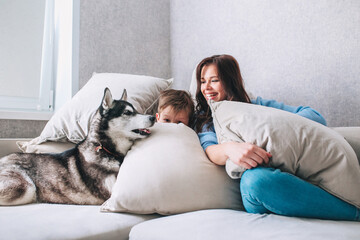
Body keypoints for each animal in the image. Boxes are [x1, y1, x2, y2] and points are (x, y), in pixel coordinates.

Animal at [0, 88, 155, 206]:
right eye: (128, 112)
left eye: (137, 110)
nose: (153, 117)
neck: (107, 151)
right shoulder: (115, 192)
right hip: (25, 188)